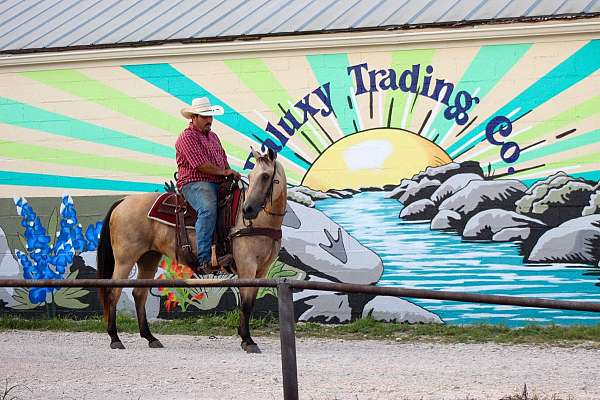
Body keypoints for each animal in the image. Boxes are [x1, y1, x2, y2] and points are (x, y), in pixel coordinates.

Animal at [96, 148, 288, 354]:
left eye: (265, 176)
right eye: (251, 176)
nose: (248, 210)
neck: (258, 222)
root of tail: (123, 201)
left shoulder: (261, 270)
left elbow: (250, 303)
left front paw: (245, 338)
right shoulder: (247, 266)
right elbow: (245, 304)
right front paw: (248, 340)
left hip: (149, 258)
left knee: (139, 294)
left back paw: (150, 338)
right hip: (125, 259)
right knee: (113, 292)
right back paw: (115, 338)